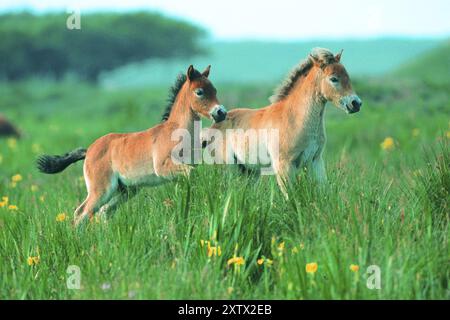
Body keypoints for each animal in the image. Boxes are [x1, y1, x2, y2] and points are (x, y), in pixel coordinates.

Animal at [38, 65, 227, 225]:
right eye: (199, 92)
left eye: (215, 90)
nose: (221, 112)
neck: (176, 132)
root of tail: (89, 150)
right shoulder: (164, 168)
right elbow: (192, 173)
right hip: (101, 189)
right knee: (82, 213)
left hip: (126, 190)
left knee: (104, 212)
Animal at [204, 48, 362, 196]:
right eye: (334, 78)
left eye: (347, 76)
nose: (356, 103)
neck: (295, 118)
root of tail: (213, 126)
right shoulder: (283, 165)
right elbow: (290, 197)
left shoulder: (315, 160)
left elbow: (324, 191)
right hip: (227, 169)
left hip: (249, 171)